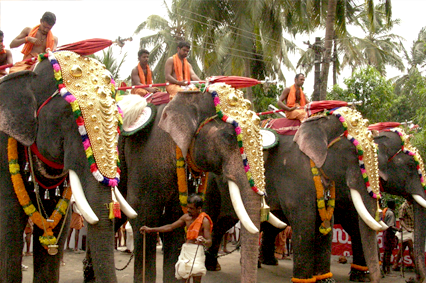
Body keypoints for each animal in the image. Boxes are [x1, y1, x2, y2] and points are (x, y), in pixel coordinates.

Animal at [203, 105, 382, 283]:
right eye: (356, 152)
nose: (372, 278)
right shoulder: (294, 173)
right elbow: (305, 222)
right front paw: (305, 280)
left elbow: (326, 226)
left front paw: (325, 280)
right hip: (213, 183)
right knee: (216, 216)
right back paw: (211, 266)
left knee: (225, 221)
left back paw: (215, 265)